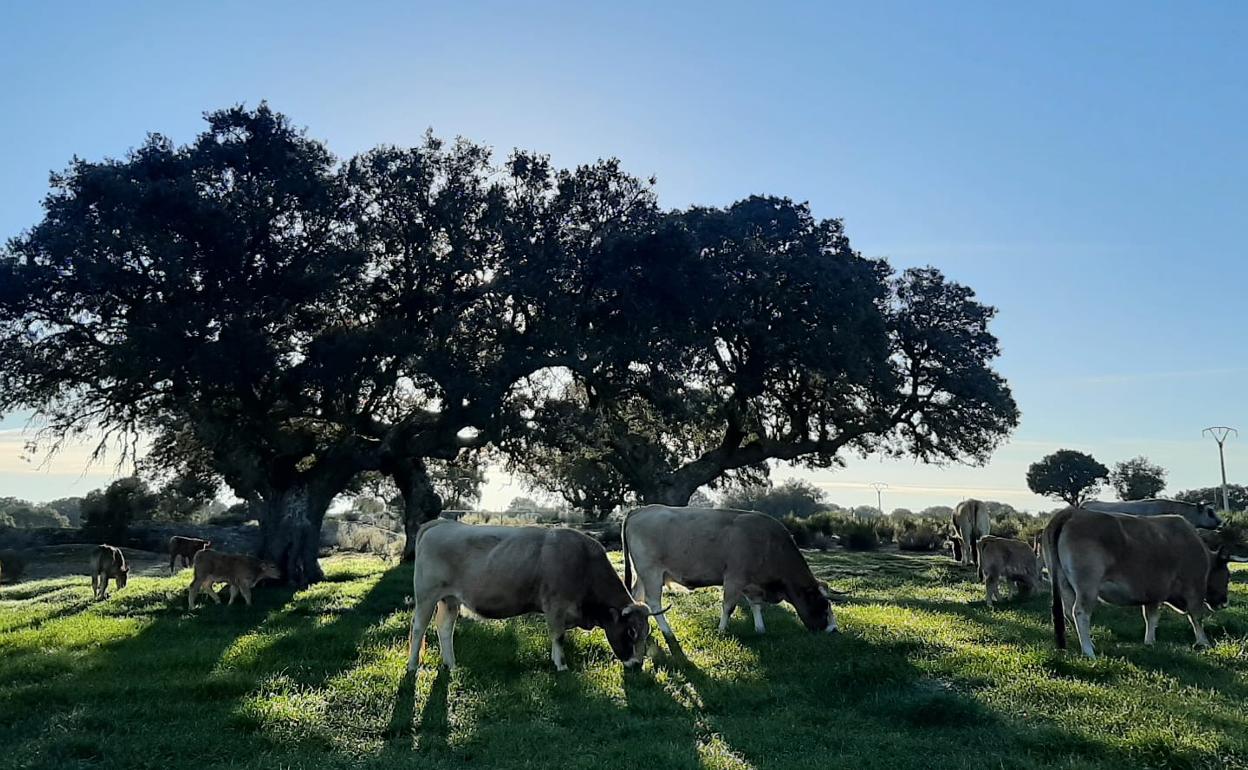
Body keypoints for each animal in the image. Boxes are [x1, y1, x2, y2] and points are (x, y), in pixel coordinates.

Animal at [409, 516, 663, 673]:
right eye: (630, 631)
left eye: (647, 632)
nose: (637, 664)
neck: (583, 562)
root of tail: (439, 523)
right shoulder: (556, 606)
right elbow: (558, 636)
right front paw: (561, 666)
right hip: (426, 595)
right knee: (419, 628)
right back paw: (413, 666)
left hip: (449, 599)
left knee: (444, 628)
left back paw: (451, 664)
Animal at [621, 504, 838, 643]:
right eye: (823, 605)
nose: (834, 630)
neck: (769, 544)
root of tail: (640, 509)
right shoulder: (734, 578)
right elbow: (728, 607)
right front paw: (721, 630)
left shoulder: (752, 584)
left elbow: (755, 606)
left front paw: (760, 629)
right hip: (651, 572)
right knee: (653, 602)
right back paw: (667, 632)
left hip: (643, 575)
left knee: (637, 597)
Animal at [1043, 506, 1238, 658]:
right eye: (1227, 576)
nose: (1224, 602)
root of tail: (1070, 513)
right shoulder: (1194, 590)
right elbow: (1196, 617)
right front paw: (1204, 642)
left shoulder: (1153, 593)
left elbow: (1151, 617)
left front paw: (1150, 642)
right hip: (1088, 585)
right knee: (1080, 612)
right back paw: (1088, 651)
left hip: (1064, 583)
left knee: (1069, 612)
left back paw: (1090, 644)